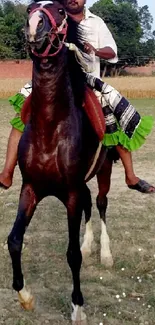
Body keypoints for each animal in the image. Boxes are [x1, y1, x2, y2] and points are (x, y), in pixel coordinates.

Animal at [7, 0, 113, 318]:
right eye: (29, 8)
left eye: (61, 11)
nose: (34, 26)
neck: (51, 127)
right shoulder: (30, 189)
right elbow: (14, 240)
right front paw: (25, 297)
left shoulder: (71, 194)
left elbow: (72, 254)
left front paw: (78, 307)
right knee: (91, 203)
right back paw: (91, 244)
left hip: (104, 172)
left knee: (100, 203)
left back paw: (105, 253)